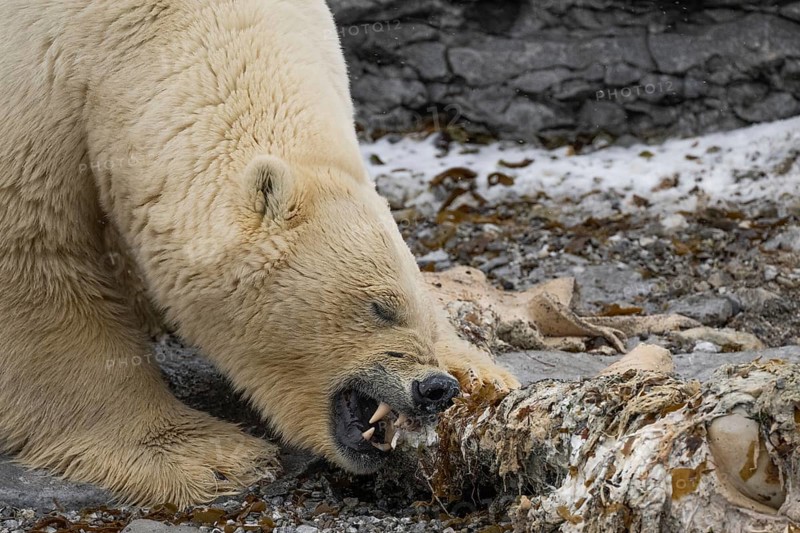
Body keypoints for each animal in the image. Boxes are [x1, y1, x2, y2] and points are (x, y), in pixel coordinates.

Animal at [0, 0, 519, 507]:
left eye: (421, 317)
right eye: (379, 308)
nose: (435, 389)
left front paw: (478, 373)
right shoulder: (42, 93)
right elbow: (37, 264)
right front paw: (209, 457)